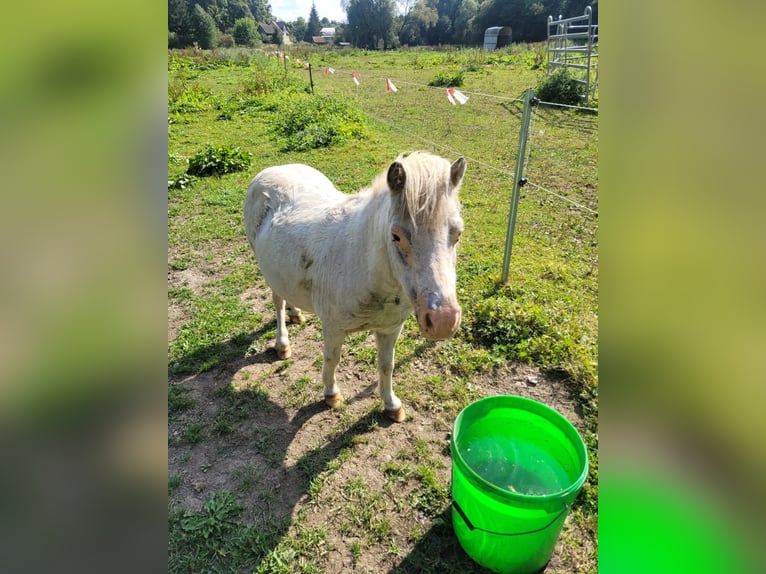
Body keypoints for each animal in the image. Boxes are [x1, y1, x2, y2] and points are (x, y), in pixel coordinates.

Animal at [244, 152, 468, 424]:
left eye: (458, 233)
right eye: (396, 236)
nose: (443, 321)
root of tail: (274, 169)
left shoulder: (390, 328)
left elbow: (386, 365)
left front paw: (391, 405)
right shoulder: (333, 328)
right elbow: (332, 359)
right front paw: (331, 395)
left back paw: (296, 314)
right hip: (267, 269)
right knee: (278, 302)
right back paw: (282, 344)